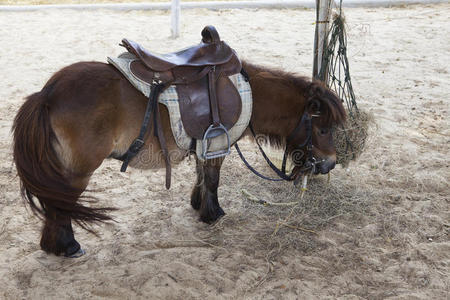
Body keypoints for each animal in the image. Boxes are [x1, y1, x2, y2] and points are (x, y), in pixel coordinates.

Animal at [13, 60, 344, 255]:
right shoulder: (217, 146)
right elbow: (213, 179)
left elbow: (201, 176)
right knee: (61, 203)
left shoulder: (205, 147)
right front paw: (212, 214)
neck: (247, 92)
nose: (330, 163)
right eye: (324, 129)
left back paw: (53, 245)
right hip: (78, 171)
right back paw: (66, 246)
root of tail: (47, 94)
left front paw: (198, 205)